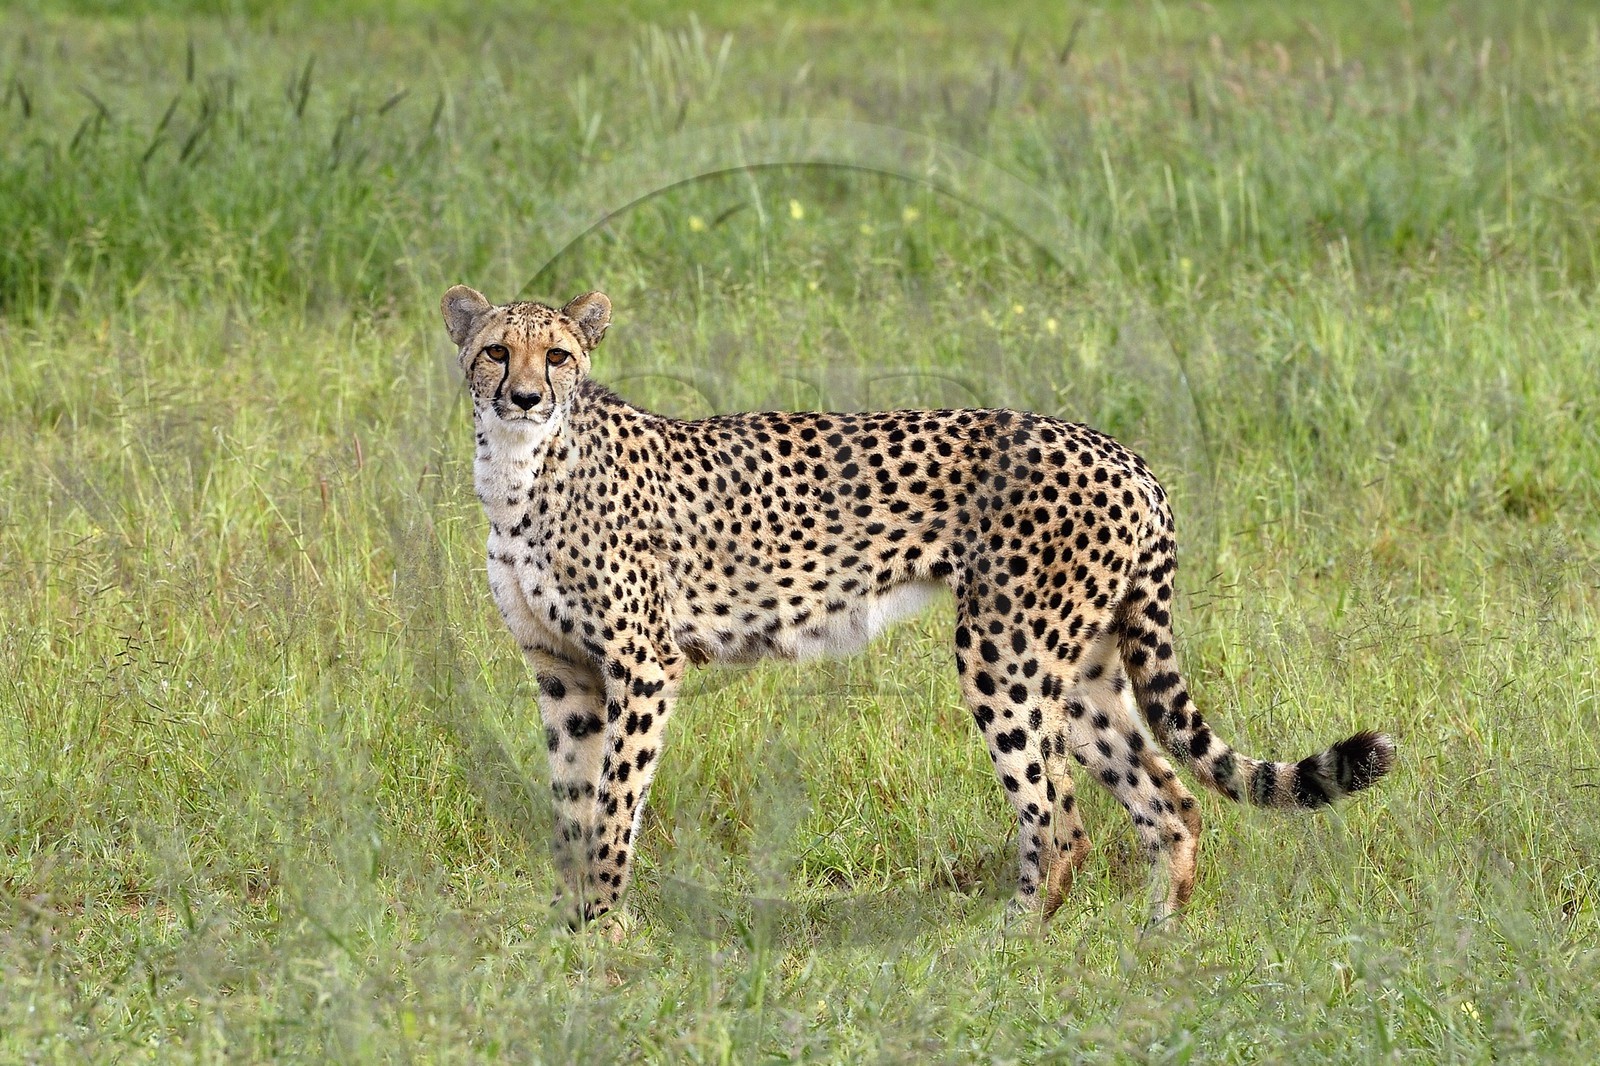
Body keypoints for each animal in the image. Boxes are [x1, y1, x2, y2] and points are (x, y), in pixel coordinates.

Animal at [440, 284, 1396, 930]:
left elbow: (612, 806)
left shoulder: (643, 666)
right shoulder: (563, 673)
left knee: (1060, 820)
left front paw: (606, 930)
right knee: (1168, 799)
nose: (524, 396)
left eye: (558, 357)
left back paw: (1008, 946)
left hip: (1004, 652)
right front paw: (569, 930)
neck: (519, 471)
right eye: (496, 351)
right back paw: (1156, 941)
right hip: (1082, 668)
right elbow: (571, 801)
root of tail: (1121, 451)